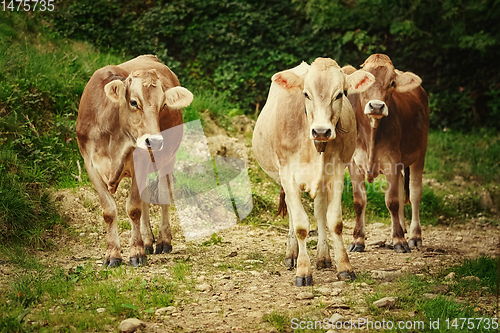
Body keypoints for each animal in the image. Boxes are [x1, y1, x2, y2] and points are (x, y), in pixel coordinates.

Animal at [76, 55, 193, 268]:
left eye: (163, 105)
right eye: (133, 102)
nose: (155, 141)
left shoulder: (140, 160)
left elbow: (133, 208)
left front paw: (136, 252)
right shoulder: (89, 163)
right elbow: (109, 211)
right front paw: (112, 254)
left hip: (168, 157)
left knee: (163, 194)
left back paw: (163, 240)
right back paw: (147, 240)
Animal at [254, 57, 376, 286]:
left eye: (340, 94)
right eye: (306, 94)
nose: (321, 131)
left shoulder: (337, 172)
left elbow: (334, 221)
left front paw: (344, 267)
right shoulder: (287, 174)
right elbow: (301, 225)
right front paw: (303, 271)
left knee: (320, 212)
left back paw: (323, 256)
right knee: (293, 214)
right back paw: (292, 254)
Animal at [344, 53, 430, 252]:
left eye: (392, 83)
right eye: (365, 81)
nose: (376, 106)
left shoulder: (392, 161)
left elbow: (392, 201)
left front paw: (400, 241)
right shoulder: (354, 163)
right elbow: (359, 201)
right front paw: (357, 240)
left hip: (420, 153)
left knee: (414, 193)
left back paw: (414, 236)